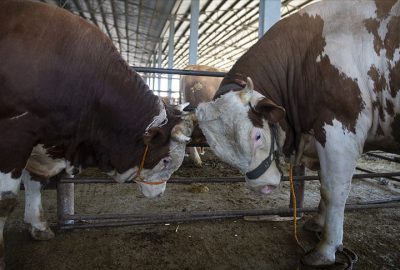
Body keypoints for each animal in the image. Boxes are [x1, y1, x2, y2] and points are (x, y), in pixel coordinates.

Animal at [0, 0, 191, 266]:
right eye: (165, 160)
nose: (160, 193)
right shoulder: (15, 134)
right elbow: (5, 200)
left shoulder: (44, 140)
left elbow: (36, 183)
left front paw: (38, 226)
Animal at [193, 0, 396, 266]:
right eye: (221, 153)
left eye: (257, 135)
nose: (263, 187)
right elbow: (323, 187)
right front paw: (317, 224)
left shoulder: (339, 131)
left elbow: (333, 190)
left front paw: (326, 249)